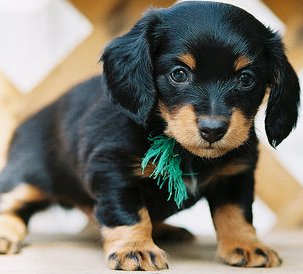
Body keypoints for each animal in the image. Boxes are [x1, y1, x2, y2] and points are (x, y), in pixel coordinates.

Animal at [0, 1, 300, 270]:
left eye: (246, 78)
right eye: (179, 74)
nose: (213, 130)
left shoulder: (235, 175)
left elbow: (236, 212)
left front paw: (246, 245)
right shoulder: (112, 170)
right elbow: (130, 214)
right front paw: (135, 249)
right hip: (28, 177)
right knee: (13, 203)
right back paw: (6, 233)